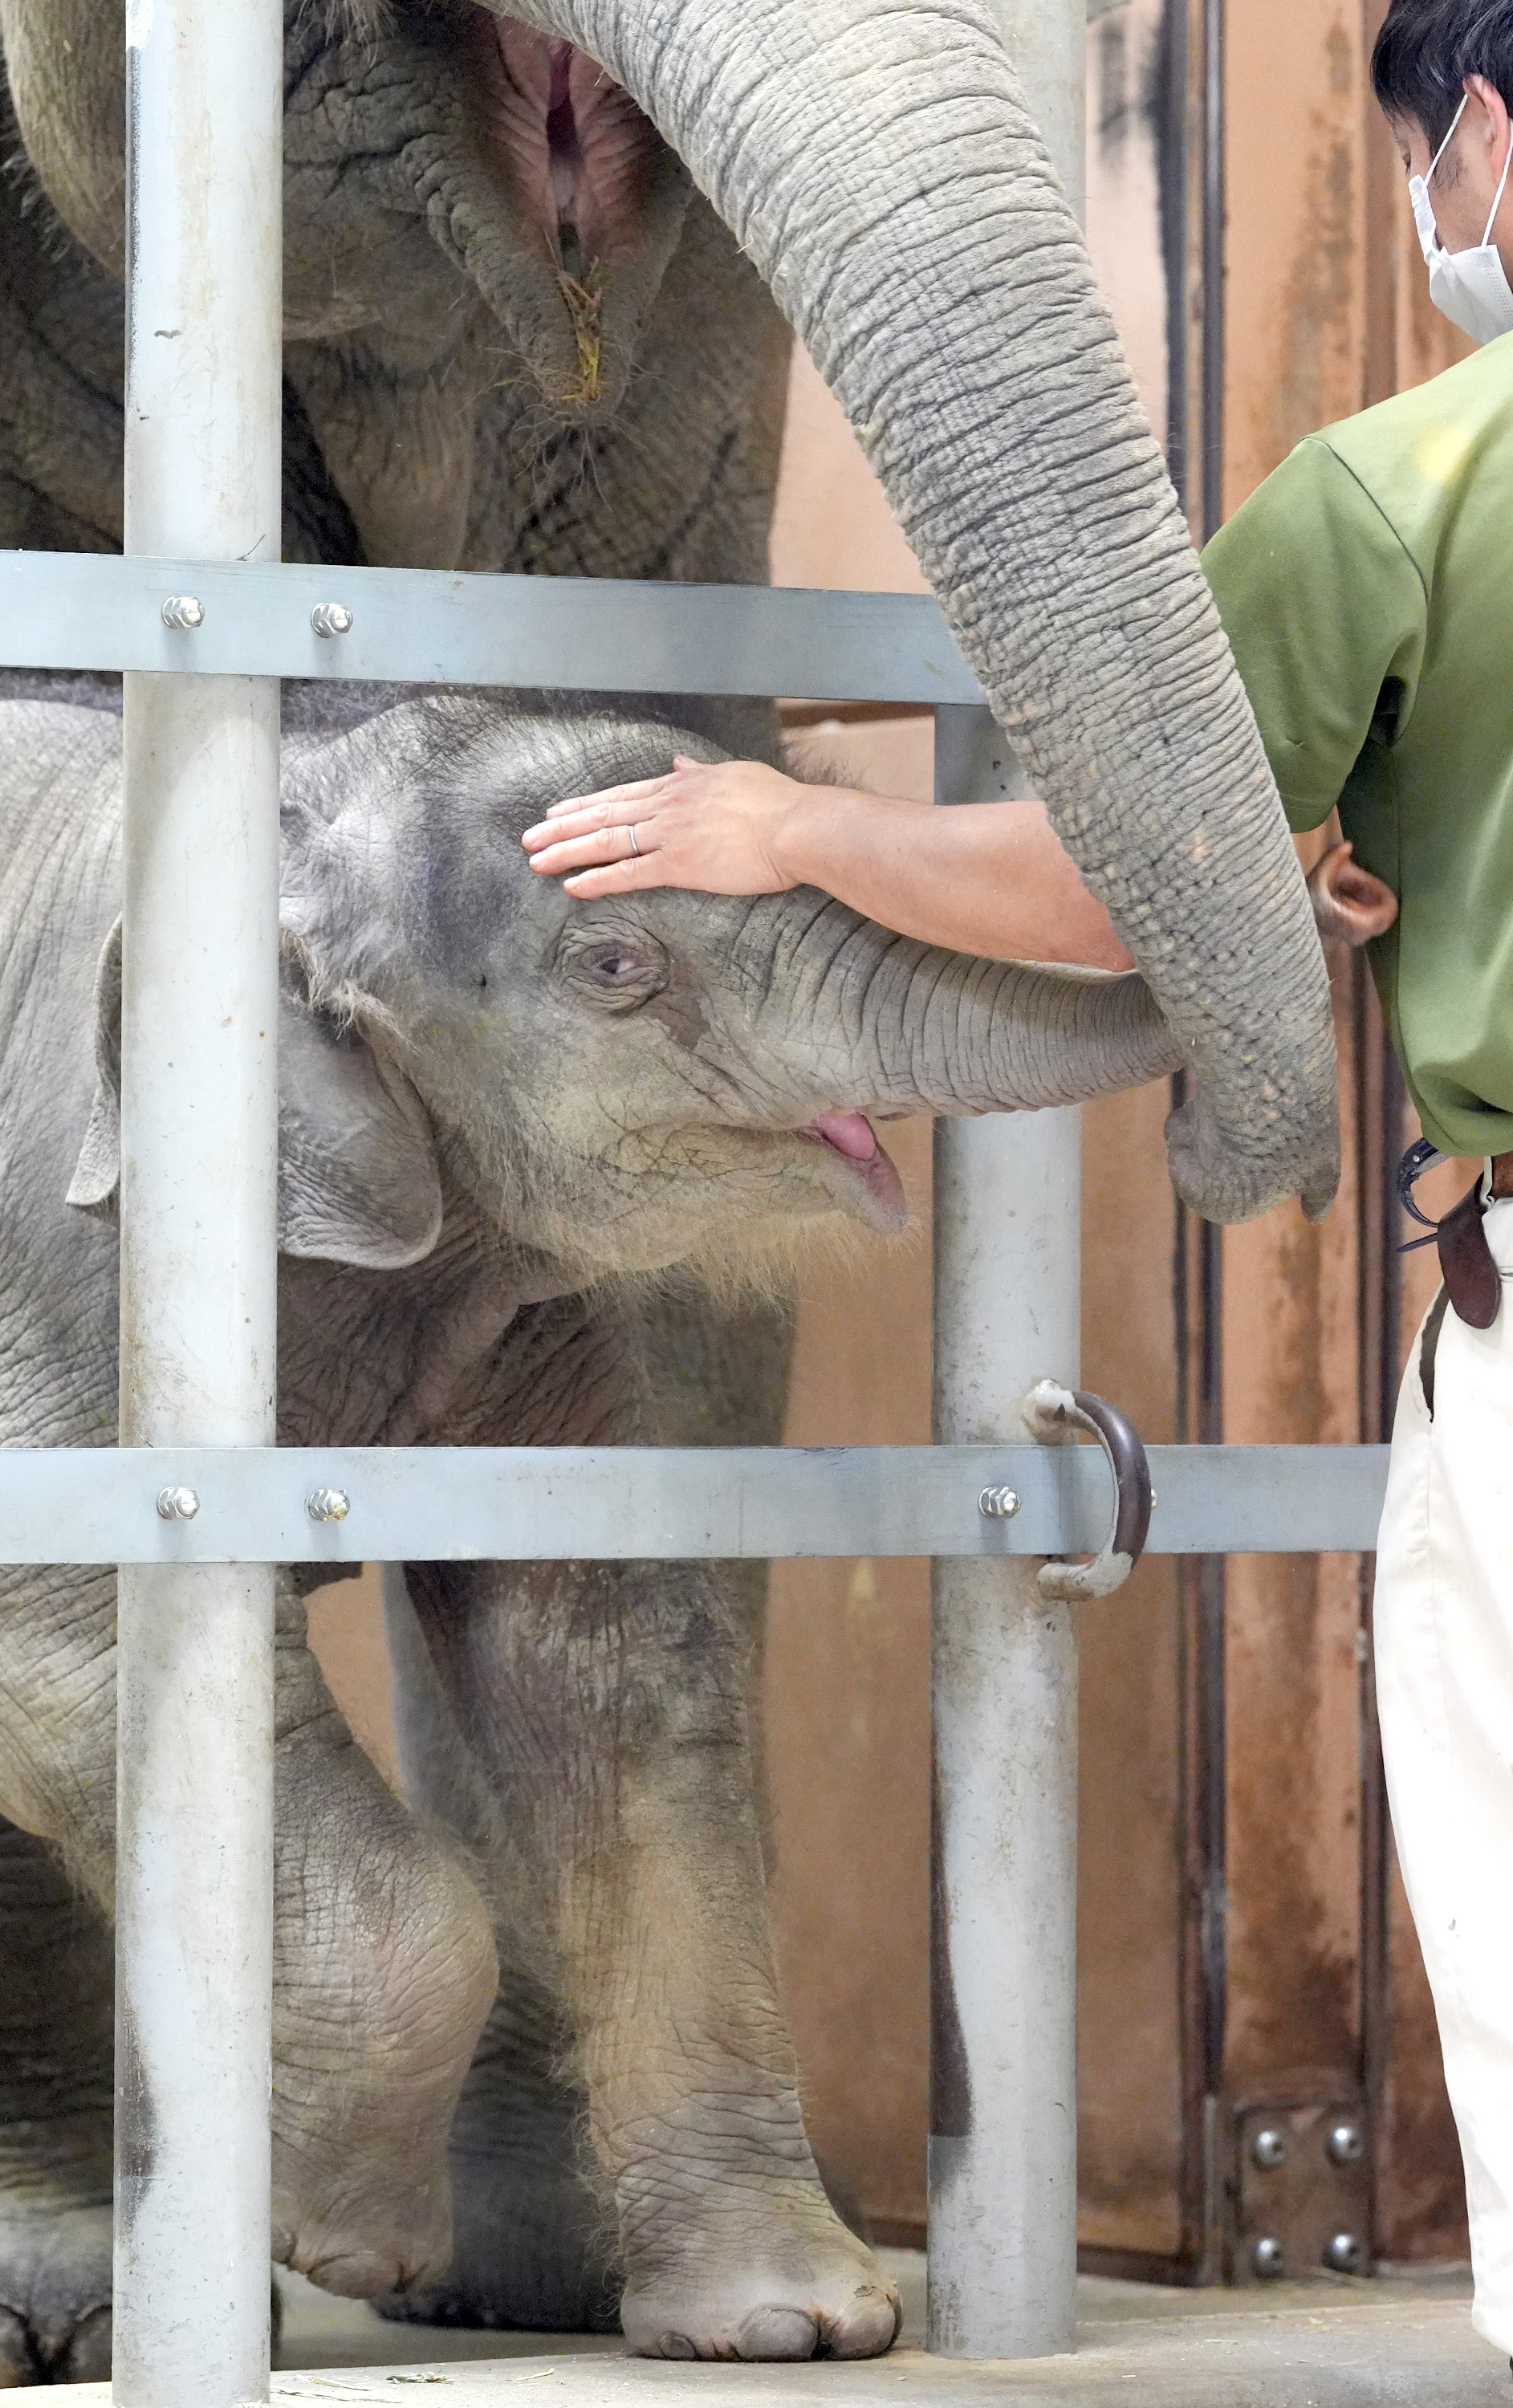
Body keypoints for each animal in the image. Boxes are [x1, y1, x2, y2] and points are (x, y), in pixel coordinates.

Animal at [0, 689, 1180, 2379]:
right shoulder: (61, 1250)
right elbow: (73, 1629)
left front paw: (794, 2328)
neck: (297, 804)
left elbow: (606, 1665)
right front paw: (339, 2231)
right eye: (617, 966)